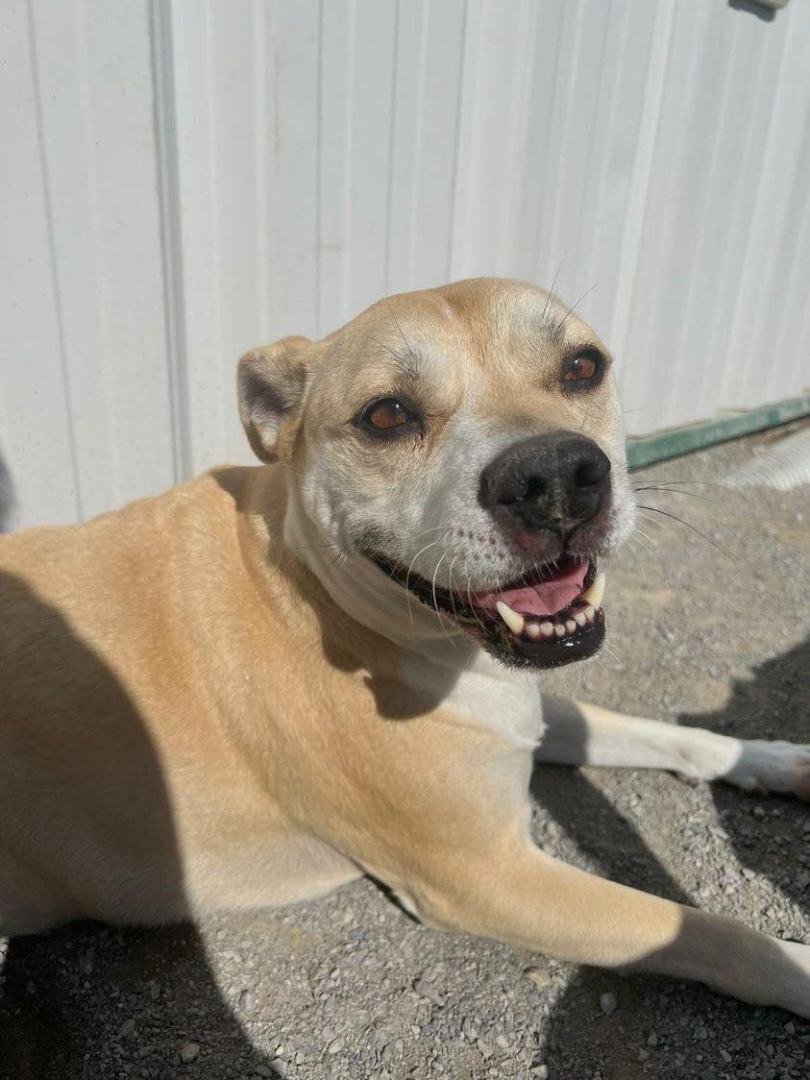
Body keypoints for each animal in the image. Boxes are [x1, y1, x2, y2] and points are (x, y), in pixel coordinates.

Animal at [0, 280, 807, 1019]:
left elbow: (663, 733)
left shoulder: (518, 710)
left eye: (582, 366)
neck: (324, 597)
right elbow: (707, 933)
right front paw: (795, 965)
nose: (553, 475)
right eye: (386, 415)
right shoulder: (487, 875)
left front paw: (771, 758)